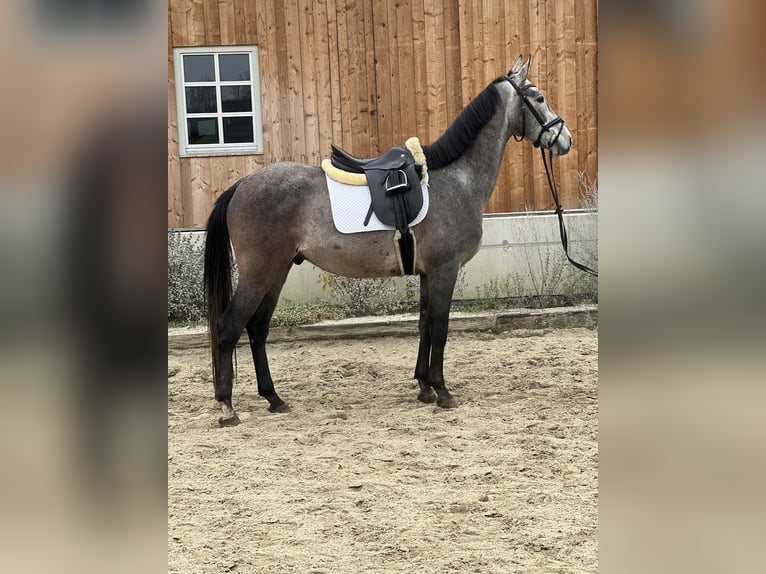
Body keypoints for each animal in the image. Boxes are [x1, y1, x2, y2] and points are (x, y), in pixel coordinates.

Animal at [202, 57, 568, 428]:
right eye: (538, 98)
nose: (564, 139)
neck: (457, 179)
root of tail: (241, 185)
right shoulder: (444, 270)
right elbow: (440, 327)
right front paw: (442, 391)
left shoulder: (427, 273)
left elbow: (424, 324)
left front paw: (424, 387)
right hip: (259, 272)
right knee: (229, 327)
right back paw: (227, 407)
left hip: (277, 271)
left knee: (258, 328)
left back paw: (274, 398)